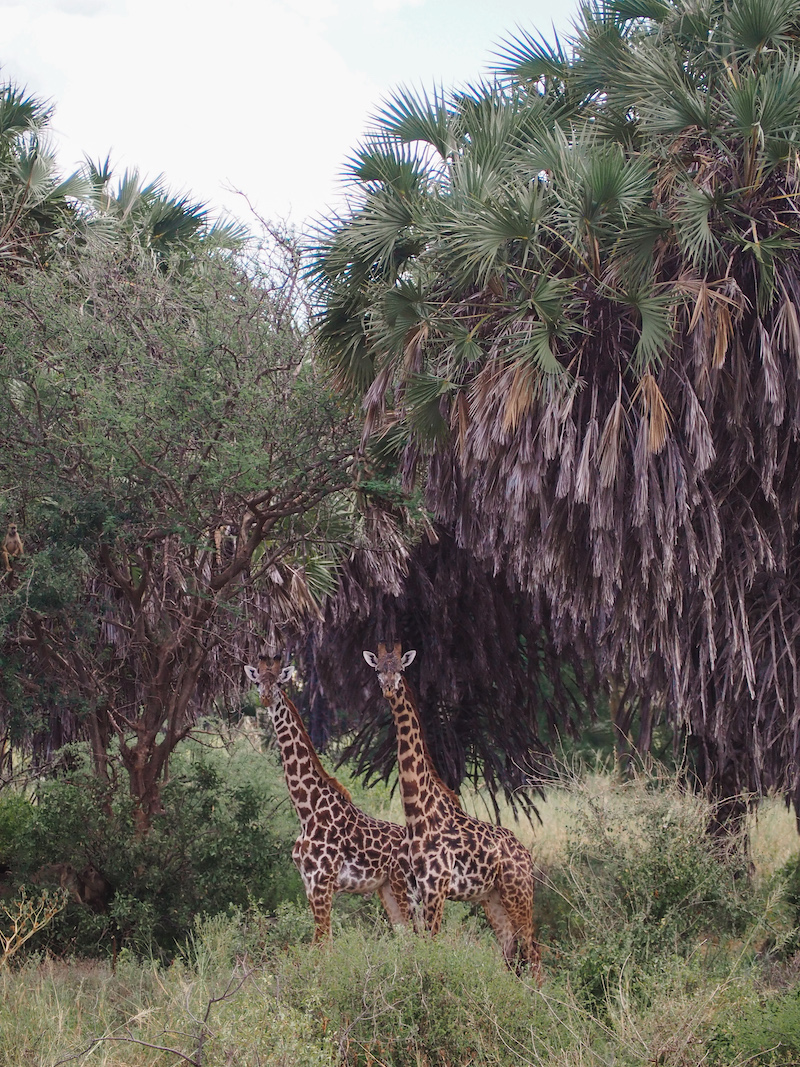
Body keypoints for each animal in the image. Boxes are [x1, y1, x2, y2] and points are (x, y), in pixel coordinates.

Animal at [244, 648, 413, 943]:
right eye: (257, 682)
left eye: (278, 683)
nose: (265, 698)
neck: (307, 809)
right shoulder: (309, 882)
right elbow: (323, 941)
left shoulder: (322, 882)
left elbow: (322, 943)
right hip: (387, 889)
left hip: (407, 889)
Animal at [364, 635, 541, 977]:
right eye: (378, 670)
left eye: (400, 669)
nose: (389, 688)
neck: (416, 814)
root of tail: (526, 855)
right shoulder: (414, 890)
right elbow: (418, 946)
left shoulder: (437, 888)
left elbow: (432, 946)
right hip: (492, 897)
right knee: (510, 950)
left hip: (518, 893)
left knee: (534, 952)